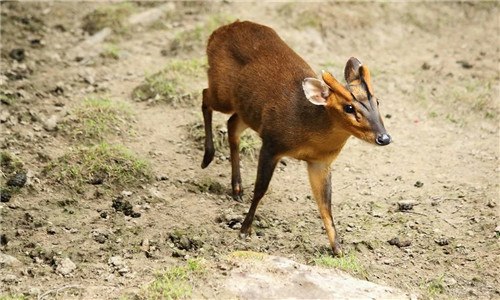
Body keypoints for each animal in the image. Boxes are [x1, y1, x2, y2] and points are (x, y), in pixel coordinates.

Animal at [199, 20, 390, 255]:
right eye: (349, 107)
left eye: (377, 101)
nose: (384, 138)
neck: (307, 132)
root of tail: (219, 30)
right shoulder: (272, 143)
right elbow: (261, 188)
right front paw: (244, 229)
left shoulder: (320, 163)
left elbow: (325, 204)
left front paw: (338, 249)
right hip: (222, 91)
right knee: (205, 95)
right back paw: (208, 157)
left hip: (247, 109)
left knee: (232, 125)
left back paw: (237, 188)